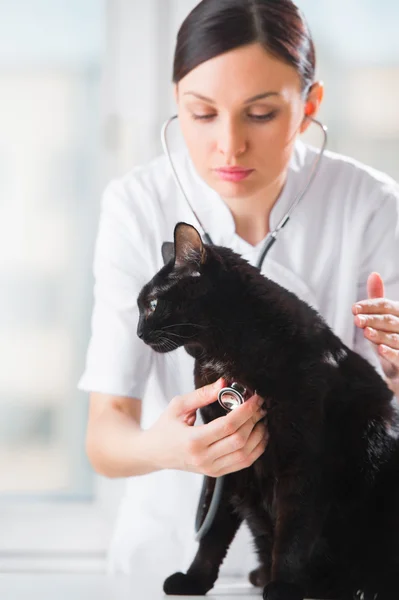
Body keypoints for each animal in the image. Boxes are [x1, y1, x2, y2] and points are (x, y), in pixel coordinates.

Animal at [137, 221, 399, 600]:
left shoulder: (302, 458)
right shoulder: (222, 464)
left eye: (153, 304)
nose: (139, 332)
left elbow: (293, 531)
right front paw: (194, 580)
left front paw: (284, 585)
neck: (224, 357)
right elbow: (212, 531)